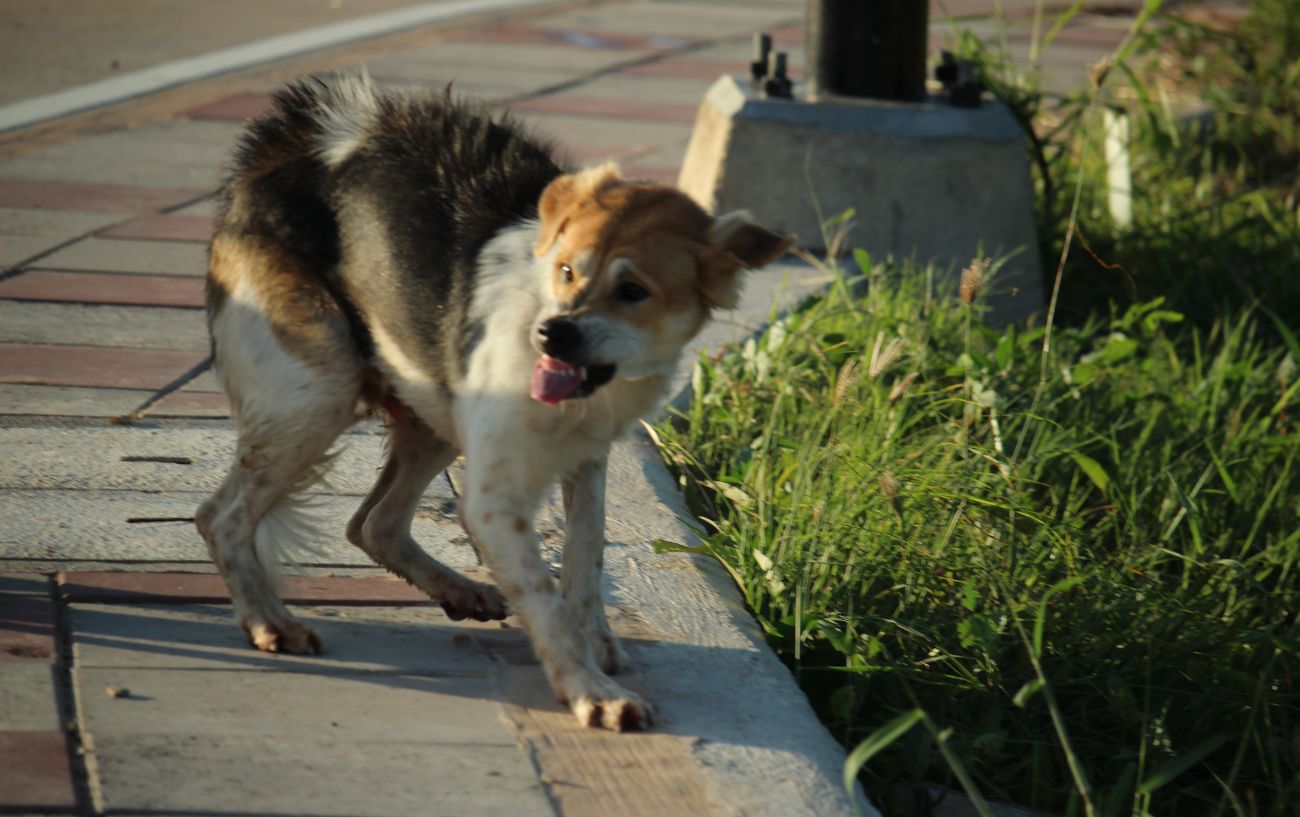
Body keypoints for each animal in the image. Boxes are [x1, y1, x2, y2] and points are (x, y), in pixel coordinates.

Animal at [188, 73, 785, 728]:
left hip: (430, 400)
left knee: (374, 523)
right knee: (223, 515)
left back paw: (460, 589)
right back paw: (269, 620)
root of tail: (294, 141)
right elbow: (546, 595)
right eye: (567, 270)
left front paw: (596, 641)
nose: (552, 333)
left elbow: (586, 554)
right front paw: (591, 689)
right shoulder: (495, 500)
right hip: (320, 390)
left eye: (634, 290)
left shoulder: (588, 458)